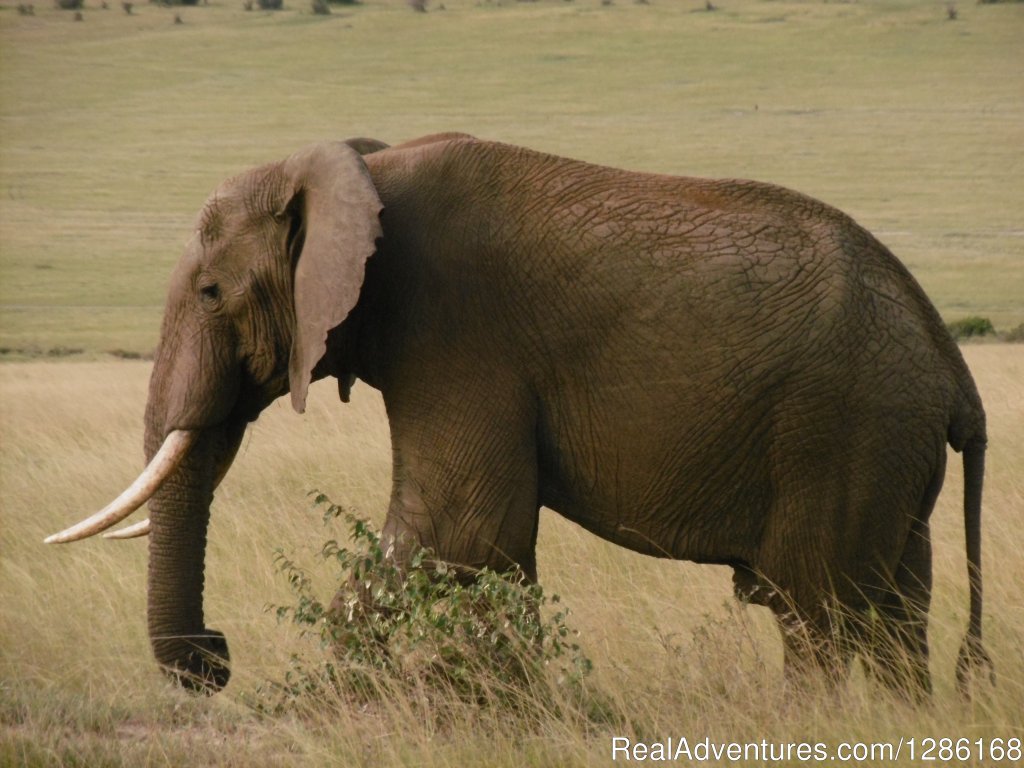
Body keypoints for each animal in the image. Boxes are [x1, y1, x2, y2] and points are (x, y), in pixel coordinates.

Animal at [48, 132, 991, 696]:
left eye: (211, 292)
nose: (216, 654)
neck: (359, 162)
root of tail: (951, 363)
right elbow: (477, 546)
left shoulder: (457, 330)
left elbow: (458, 533)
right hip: (889, 445)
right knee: (895, 611)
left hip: (842, 430)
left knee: (818, 613)